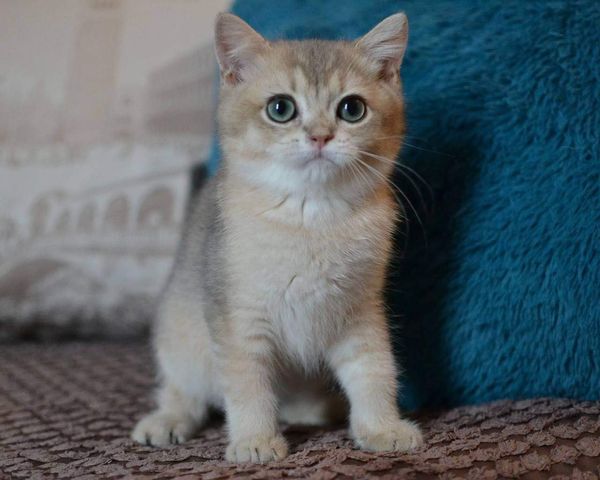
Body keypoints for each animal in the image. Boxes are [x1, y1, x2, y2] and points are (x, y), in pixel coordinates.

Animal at [132, 10, 422, 462]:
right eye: (280, 108)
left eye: (352, 108)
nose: (320, 136)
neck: (312, 218)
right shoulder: (238, 318)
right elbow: (247, 383)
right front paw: (255, 440)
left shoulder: (361, 311)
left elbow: (374, 368)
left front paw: (381, 427)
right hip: (179, 337)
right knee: (186, 391)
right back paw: (168, 420)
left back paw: (315, 409)